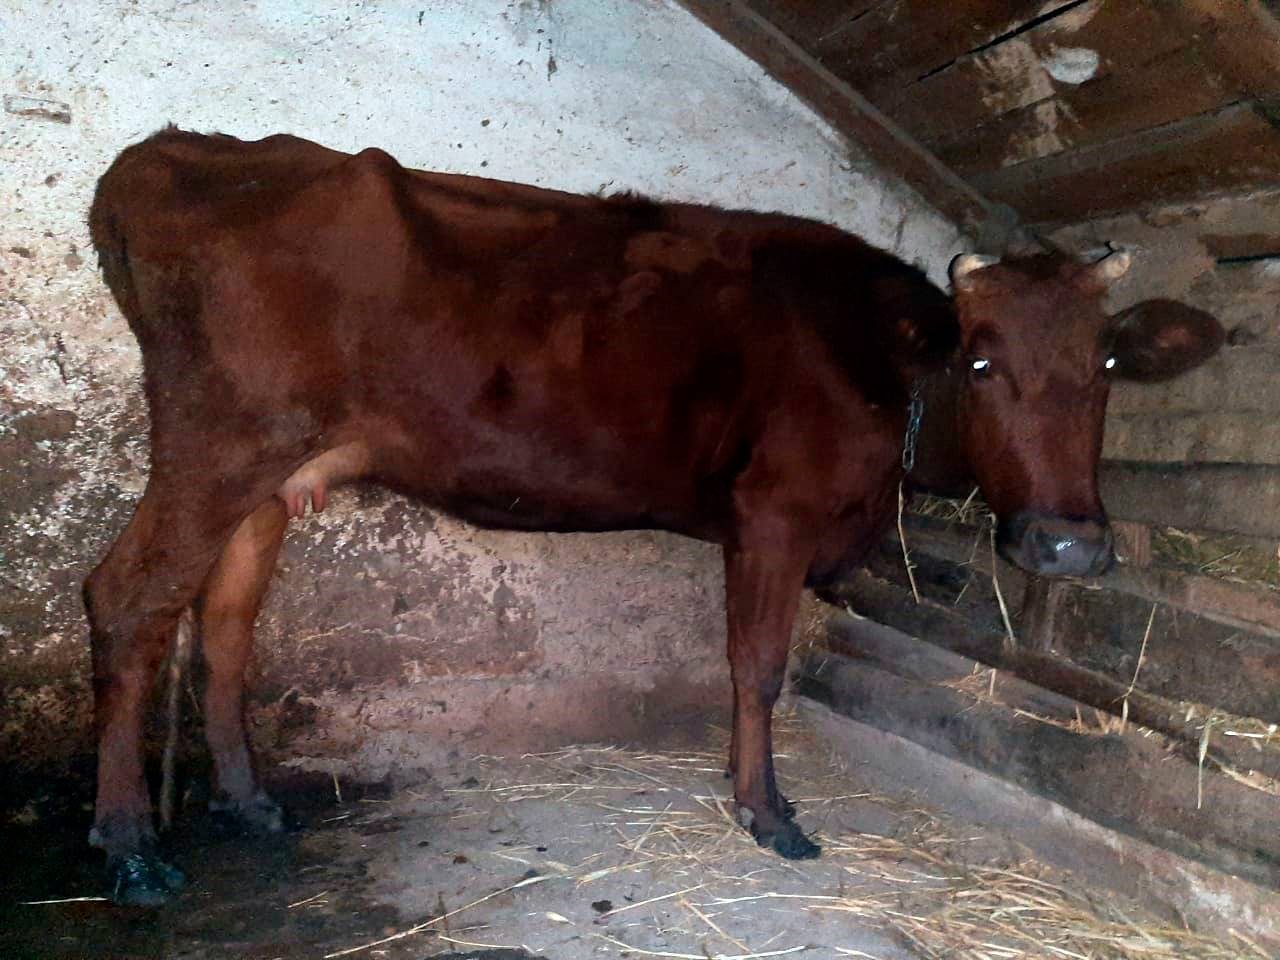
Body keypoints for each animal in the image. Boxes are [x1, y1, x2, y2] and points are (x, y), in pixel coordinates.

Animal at [83, 128, 1224, 905]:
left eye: (1106, 364)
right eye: (981, 362)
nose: (1064, 543)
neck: (875, 371)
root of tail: (177, 149)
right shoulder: (775, 515)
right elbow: (756, 667)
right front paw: (766, 812)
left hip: (272, 474)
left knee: (223, 621)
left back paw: (247, 803)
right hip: (218, 441)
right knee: (127, 598)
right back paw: (129, 843)